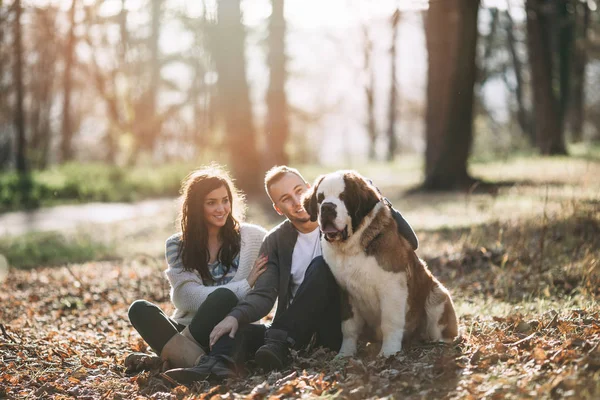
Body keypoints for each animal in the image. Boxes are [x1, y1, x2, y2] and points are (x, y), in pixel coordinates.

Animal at [304, 170, 460, 358]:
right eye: (320, 198)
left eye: (343, 197)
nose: (327, 207)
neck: (351, 248)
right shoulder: (344, 291)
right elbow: (348, 326)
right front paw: (345, 353)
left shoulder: (392, 286)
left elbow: (390, 322)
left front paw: (388, 352)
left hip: (438, 295)